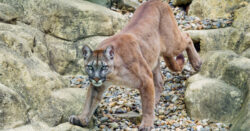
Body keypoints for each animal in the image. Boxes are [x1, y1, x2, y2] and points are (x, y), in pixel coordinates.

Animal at [69, 0, 202, 130]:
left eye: (104, 67)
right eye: (90, 67)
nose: (96, 78)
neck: (114, 73)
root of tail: (156, 1)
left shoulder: (145, 78)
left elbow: (147, 104)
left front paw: (147, 124)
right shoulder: (98, 86)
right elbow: (89, 102)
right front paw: (81, 118)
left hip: (171, 45)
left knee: (187, 37)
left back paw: (197, 62)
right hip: (152, 57)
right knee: (160, 81)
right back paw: (155, 101)